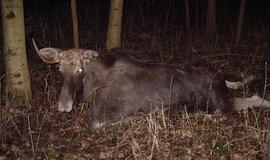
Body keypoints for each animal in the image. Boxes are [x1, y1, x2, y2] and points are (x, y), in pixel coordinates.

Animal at [32, 40, 270, 129]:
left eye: (80, 69)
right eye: (59, 69)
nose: (64, 105)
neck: (93, 87)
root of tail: (218, 77)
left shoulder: (111, 114)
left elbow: (97, 124)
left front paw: (140, 117)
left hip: (220, 103)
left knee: (256, 98)